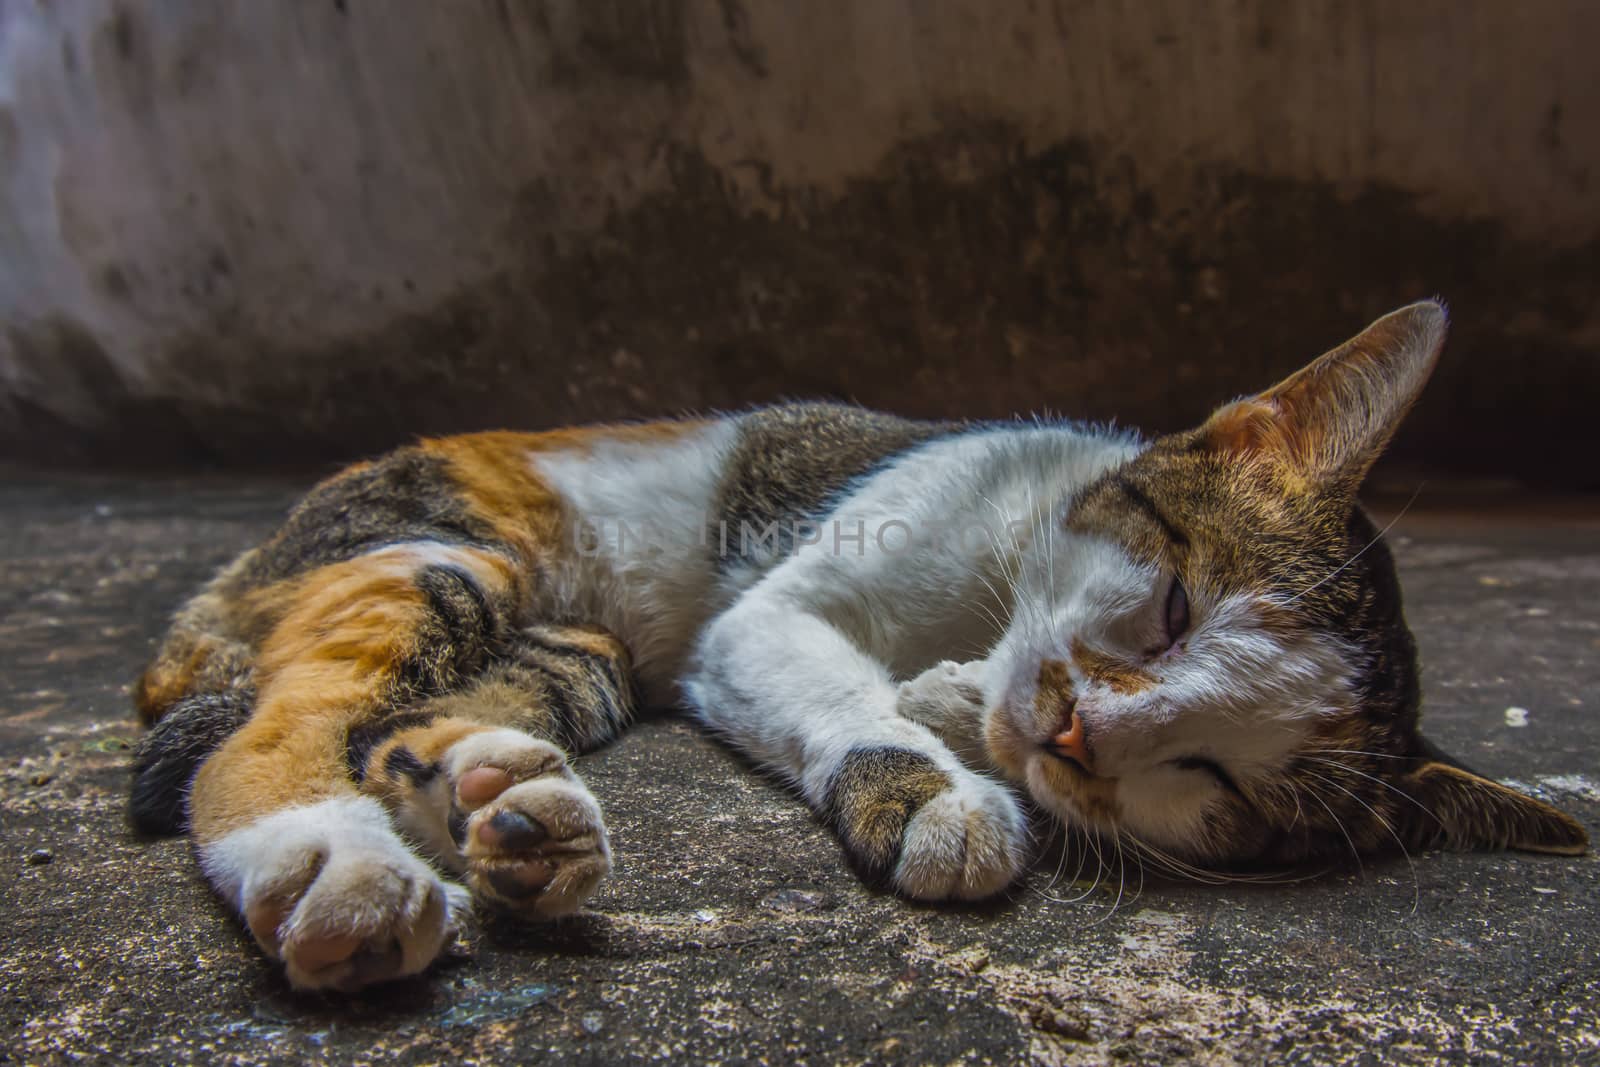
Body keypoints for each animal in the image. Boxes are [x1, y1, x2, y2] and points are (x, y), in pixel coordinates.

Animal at [131, 300, 1580, 991]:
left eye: (1218, 780)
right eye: (1175, 605)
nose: (1077, 731)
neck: (987, 602)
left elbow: (951, 691)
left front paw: (956, 708)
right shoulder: (767, 616)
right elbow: (844, 682)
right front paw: (933, 785)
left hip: (572, 652)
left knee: (407, 723)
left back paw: (504, 803)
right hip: (438, 549)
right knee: (256, 737)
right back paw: (328, 864)